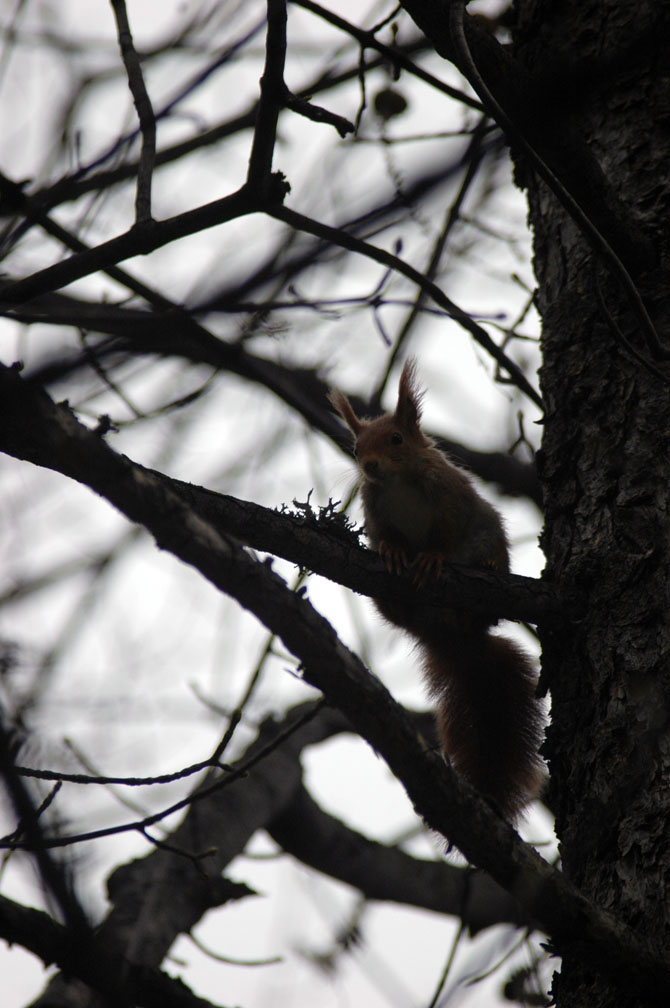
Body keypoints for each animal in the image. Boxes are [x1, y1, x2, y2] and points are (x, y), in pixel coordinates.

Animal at [328, 360, 544, 818]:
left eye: (396, 439)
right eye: (356, 449)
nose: (369, 466)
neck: (398, 482)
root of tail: (452, 636)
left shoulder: (449, 499)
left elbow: (444, 535)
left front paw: (431, 557)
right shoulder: (376, 511)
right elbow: (387, 536)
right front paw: (395, 551)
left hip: (488, 532)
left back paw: (488, 565)